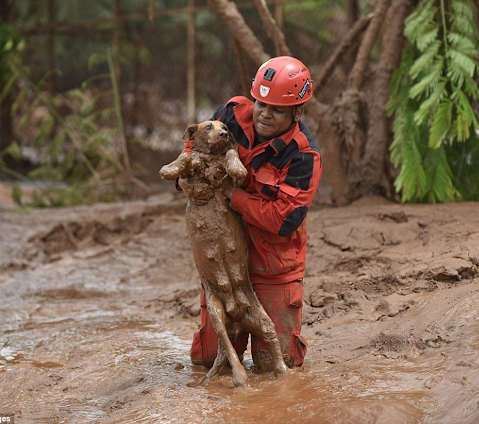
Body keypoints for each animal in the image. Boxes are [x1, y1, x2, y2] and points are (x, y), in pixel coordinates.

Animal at [160, 120, 288, 388]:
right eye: (208, 126)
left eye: (225, 127)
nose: (224, 133)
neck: (211, 157)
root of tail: (238, 320)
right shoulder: (193, 164)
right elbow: (185, 157)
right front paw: (169, 169)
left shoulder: (231, 172)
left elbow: (231, 155)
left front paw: (237, 168)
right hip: (216, 312)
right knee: (228, 348)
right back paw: (237, 378)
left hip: (263, 319)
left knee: (269, 342)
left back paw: (275, 375)